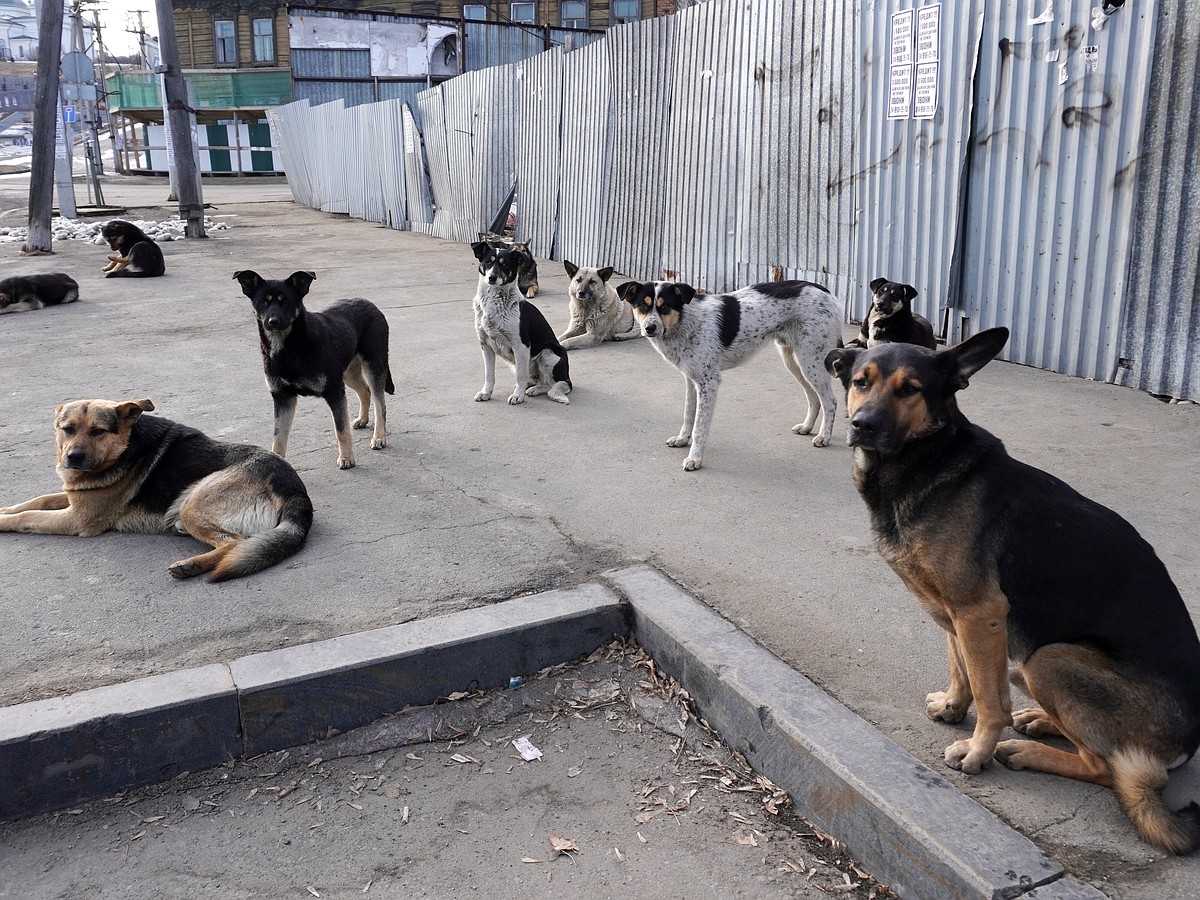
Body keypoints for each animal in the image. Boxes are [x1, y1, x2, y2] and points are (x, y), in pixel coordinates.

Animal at [0, 398, 314, 580]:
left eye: (97, 431)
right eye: (67, 429)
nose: (73, 458)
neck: (126, 447)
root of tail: (295, 488)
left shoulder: (77, 518)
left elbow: (27, 517)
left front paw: (3, 521)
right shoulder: (74, 499)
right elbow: (36, 501)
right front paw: (5, 508)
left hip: (193, 504)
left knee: (234, 543)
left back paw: (191, 565)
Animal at [236, 270, 396, 472]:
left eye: (286, 300)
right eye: (263, 301)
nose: (272, 322)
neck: (290, 348)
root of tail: (370, 304)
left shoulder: (335, 392)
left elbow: (341, 430)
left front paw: (346, 458)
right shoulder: (283, 398)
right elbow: (278, 438)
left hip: (373, 366)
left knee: (379, 402)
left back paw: (379, 437)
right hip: (348, 373)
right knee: (365, 392)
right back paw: (362, 419)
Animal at [619, 280, 844, 472]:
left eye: (664, 306)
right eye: (642, 305)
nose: (650, 328)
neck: (685, 322)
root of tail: (827, 292)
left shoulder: (708, 383)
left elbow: (700, 427)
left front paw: (694, 458)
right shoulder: (691, 380)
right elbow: (688, 413)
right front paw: (683, 439)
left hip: (810, 360)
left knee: (830, 401)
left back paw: (824, 437)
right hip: (794, 360)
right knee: (814, 398)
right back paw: (807, 427)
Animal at [825, 328, 1200, 854]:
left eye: (910, 390)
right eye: (861, 381)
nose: (862, 425)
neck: (928, 463)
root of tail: (1189, 742)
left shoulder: (979, 613)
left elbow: (989, 698)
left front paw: (977, 750)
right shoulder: (955, 615)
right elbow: (961, 669)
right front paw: (952, 707)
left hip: (1048, 658)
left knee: (1106, 768)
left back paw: (1025, 750)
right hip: (1025, 663)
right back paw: (1040, 722)